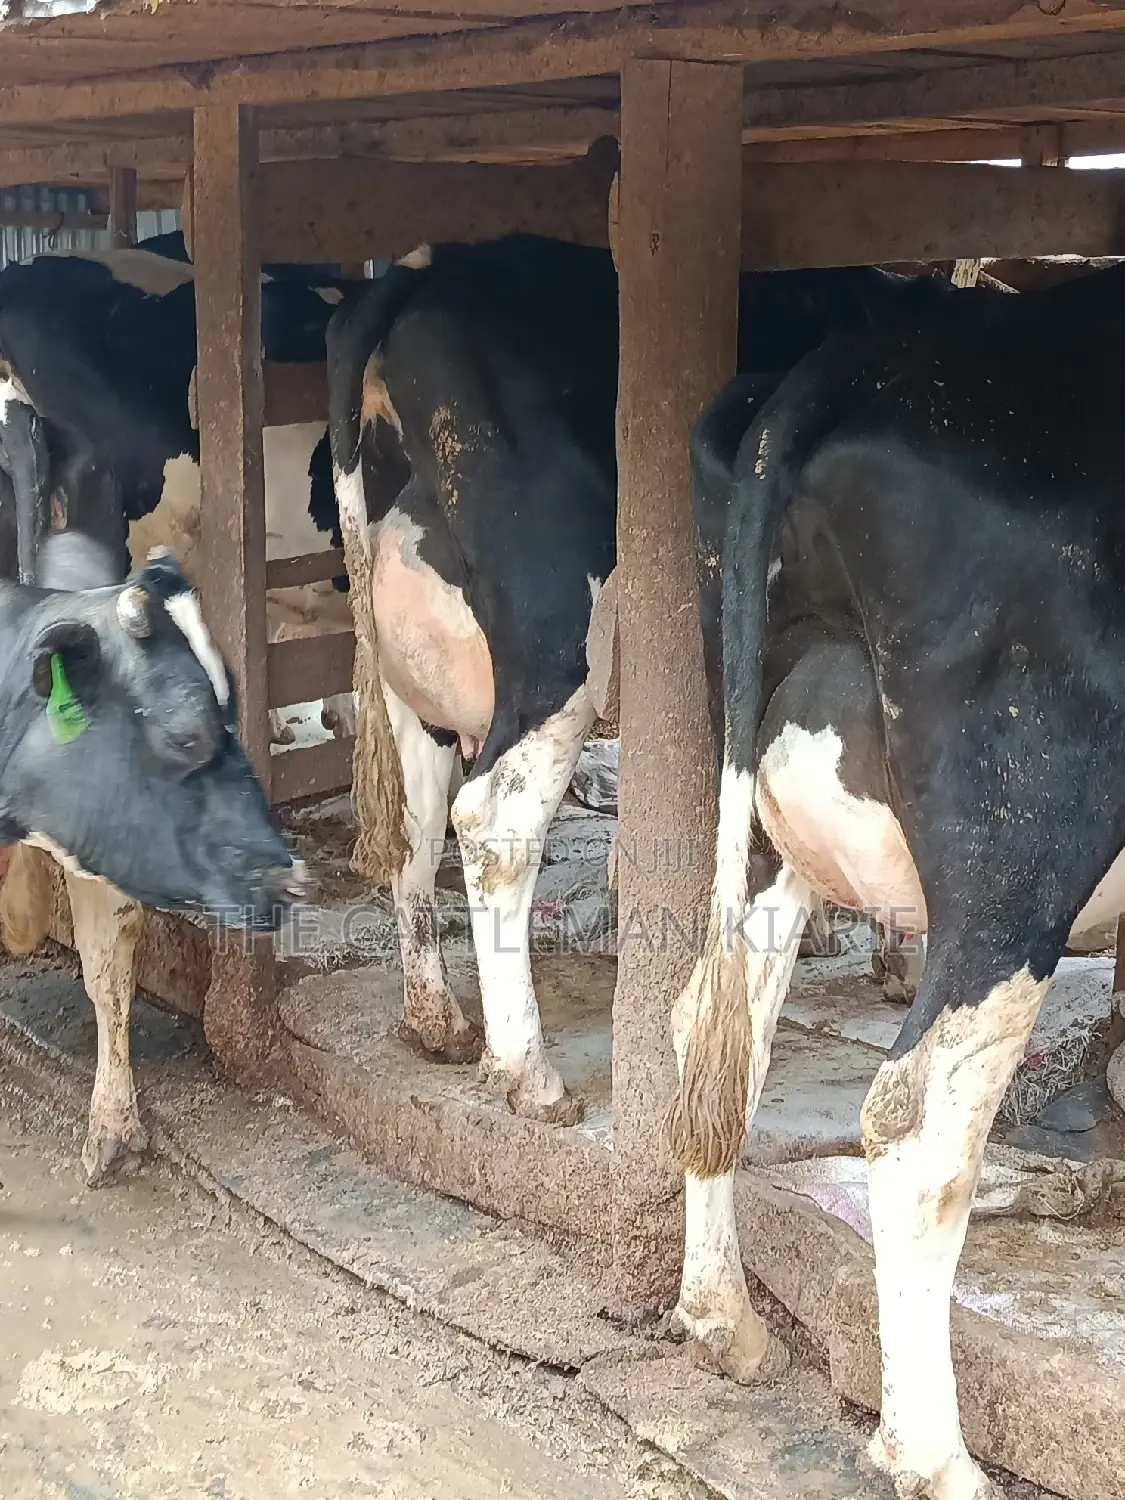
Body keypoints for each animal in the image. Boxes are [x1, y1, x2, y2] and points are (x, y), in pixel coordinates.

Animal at [325, 235, 978, 1122]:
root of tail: (426, 267)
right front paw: (890, 955)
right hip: (555, 635)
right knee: (493, 820)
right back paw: (527, 1073)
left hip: (413, 675)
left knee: (416, 822)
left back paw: (437, 1021)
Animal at [667, 264, 1125, 1500]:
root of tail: (848, 361)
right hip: (1023, 847)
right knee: (915, 1123)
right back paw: (933, 1454)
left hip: (764, 815)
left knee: (715, 1025)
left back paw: (722, 1317)